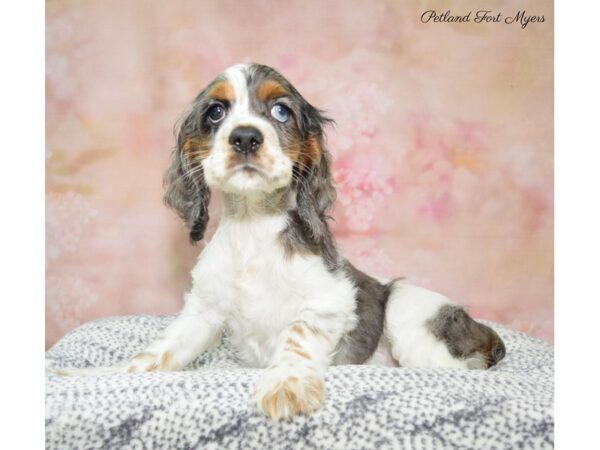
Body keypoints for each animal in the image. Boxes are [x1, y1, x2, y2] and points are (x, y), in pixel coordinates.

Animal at [57, 63, 506, 422]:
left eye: (280, 111)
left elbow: (297, 336)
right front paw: (94, 375)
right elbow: (157, 353)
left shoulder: (329, 300)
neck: (253, 225)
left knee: (456, 368)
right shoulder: (203, 311)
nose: (245, 138)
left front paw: (285, 385)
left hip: (408, 312)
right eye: (216, 112)